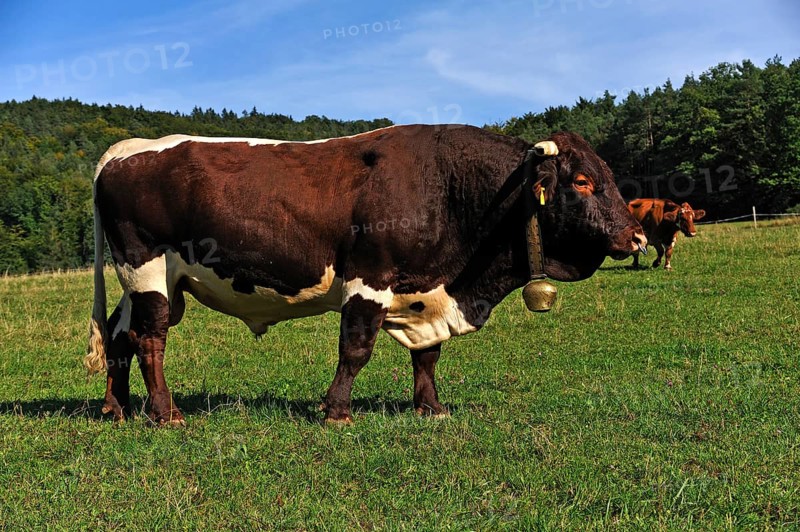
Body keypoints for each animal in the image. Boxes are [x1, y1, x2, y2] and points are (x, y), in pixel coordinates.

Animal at [85, 124, 647, 425]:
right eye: (582, 181)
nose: (637, 237)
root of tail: (124, 149)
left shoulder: (426, 287)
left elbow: (428, 355)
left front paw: (430, 407)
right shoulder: (368, 279)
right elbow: (355, 350)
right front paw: (336, 410)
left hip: (149, 283)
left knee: (119, 335)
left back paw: (117, 407)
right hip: (148, 269)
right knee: (149, 340)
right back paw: (165, 413)